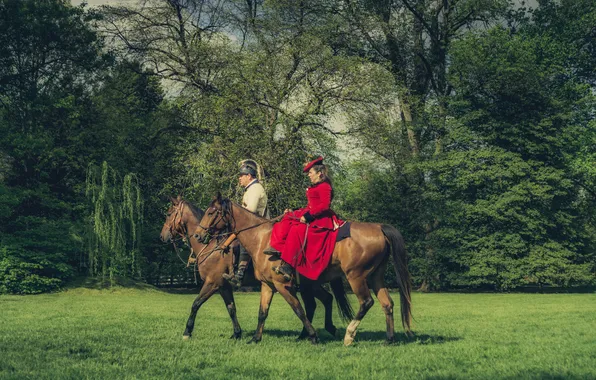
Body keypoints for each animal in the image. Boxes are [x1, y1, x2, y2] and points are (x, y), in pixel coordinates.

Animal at [161, 196, 352, 342]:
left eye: (169, 214)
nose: (162, 236)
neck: (210, 247)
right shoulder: (223, 286)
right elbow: (231, 308)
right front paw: (237, 333)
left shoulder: (212, 283)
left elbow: (196, 304)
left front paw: (187, 332)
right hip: (309, 285)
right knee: (325, 299)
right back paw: (318, 331)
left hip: (305, 286)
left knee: (314, 303)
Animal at [193, 194, 412, 346]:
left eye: (211, 212)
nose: (197, 235)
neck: (262, 238)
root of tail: (379, 228)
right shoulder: (267, 285)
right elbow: (262, 312)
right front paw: (255, 338)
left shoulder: (282, 285)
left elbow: (298, 309)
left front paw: (313, 336)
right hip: (375, 277)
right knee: (387, 304)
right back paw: (389, 339)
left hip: (356, 277)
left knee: (365, 302)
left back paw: (348, 335)